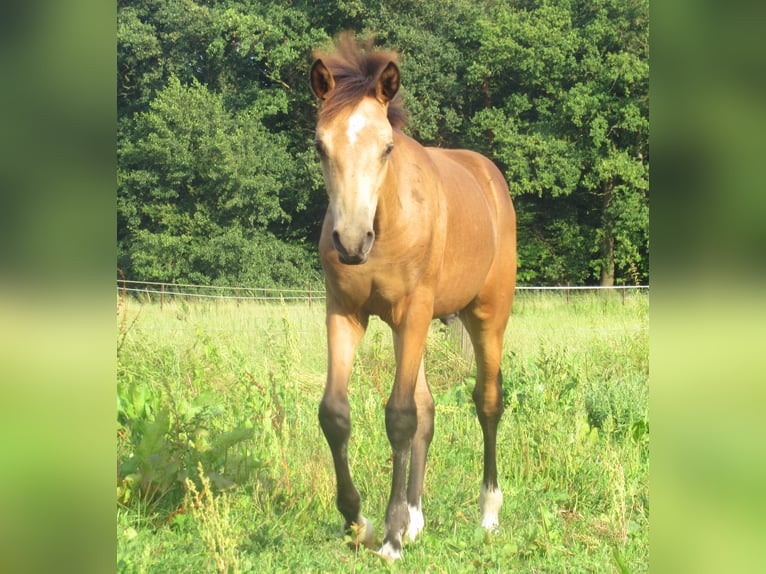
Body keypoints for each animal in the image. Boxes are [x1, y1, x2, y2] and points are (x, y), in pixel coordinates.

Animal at [308, 33, 520, 560]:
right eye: (320, 145)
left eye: (386, 147)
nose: (351, 242)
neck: (386, 221)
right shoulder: (345, 312)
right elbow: (336, 413)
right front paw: (359, 523)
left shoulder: (415, 311)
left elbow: (399, 417)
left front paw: (389, 537)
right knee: (428, 409)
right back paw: (417, 518)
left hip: (486, 314)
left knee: (487, 401)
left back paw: (488, 512)